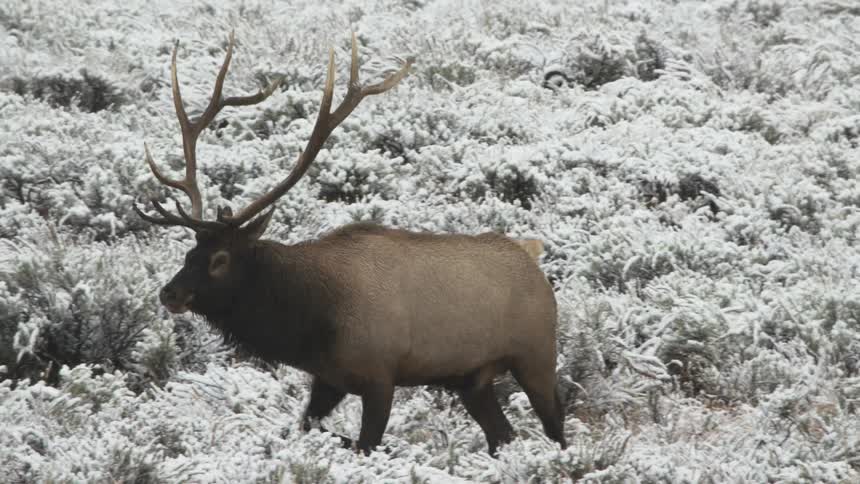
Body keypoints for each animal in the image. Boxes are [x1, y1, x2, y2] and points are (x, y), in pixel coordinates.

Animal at [134, 31, 567, 457]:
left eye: (220, 258)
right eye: (190, 253)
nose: (170, 293)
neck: (313, 319)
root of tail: (535, 262)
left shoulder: (381, 377)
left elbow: (366, 444)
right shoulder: (328, 379)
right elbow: (309, 425)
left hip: (536, 354)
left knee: (555, 427)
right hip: (472, 378)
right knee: (503, 434)